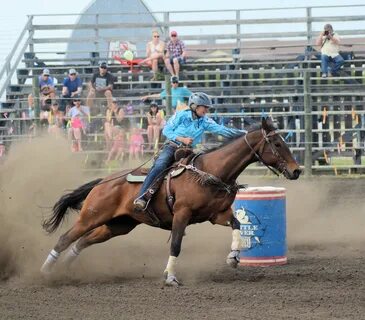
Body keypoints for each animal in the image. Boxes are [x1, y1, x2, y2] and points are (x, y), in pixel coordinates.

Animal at [41, 117, 300, 284]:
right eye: (277, 144)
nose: (296, 171)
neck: (211, 172)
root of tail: (102, 181)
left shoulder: (218, 214)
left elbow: (237, 225)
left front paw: (234, 257)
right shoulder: (182, 214)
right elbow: (176, 244)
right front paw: (170, 277)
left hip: (118, 225)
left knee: (83, 241)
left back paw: (66, 269)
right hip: (92, 216)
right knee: (65, 239)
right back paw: (45, 272)